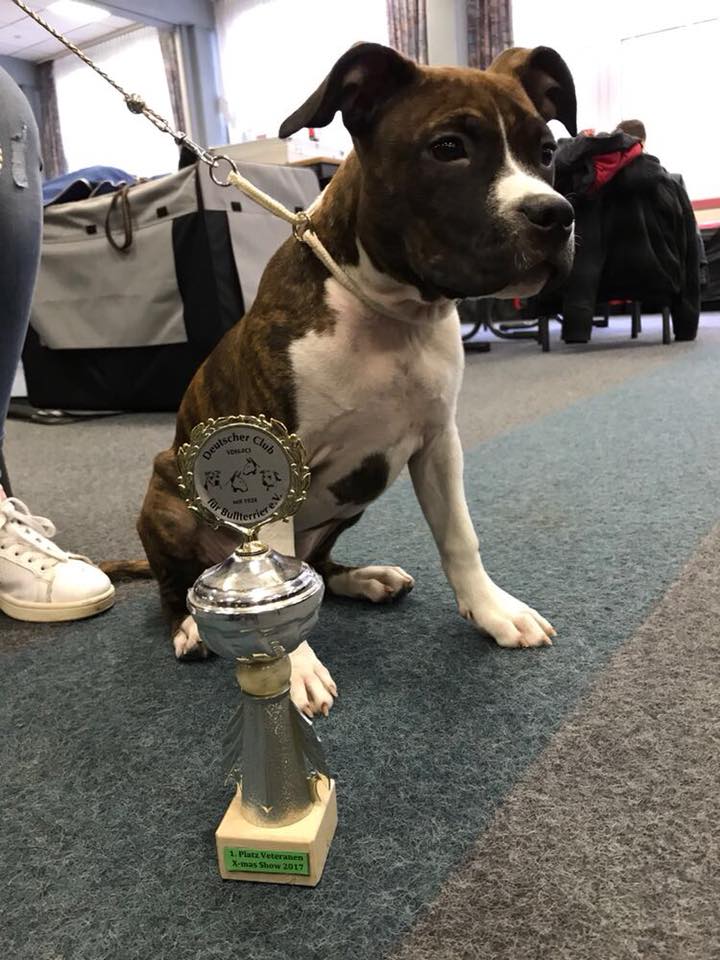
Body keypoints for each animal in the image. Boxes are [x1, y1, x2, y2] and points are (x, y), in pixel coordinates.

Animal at [135, 42, 577, 718]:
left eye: (546, 151)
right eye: (448, 147)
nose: (555, 215)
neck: (392, 313)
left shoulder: (438, 446)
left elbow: (460, 537)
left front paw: (493, 611)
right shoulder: (278, 458)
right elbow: (278, 564)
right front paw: (293, 667)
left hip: (353, 499)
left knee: (318, 562)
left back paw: (364, 579)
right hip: (166, 492)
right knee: (175, 584)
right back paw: (188, 626)